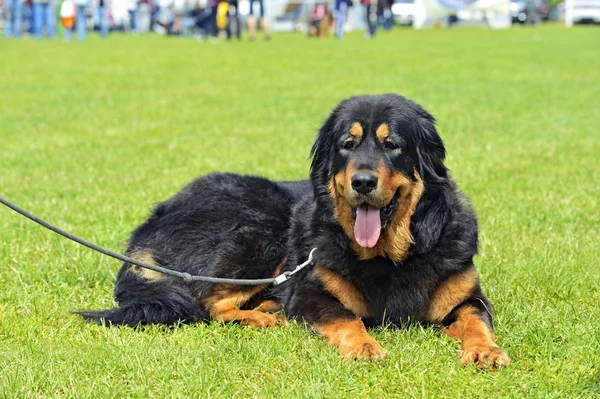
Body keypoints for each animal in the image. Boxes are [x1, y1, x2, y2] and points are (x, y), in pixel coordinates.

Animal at [78, 94, 510, 368]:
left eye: (393, 145)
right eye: (348, 144)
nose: (363, 182)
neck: (391, 257)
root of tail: (152, 219)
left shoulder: (466, 297)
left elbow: (477, 321)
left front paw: (485, 351)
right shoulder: (311, 293)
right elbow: (346, 319)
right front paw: (363, 346)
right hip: (262, 225)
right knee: (204, 303)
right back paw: (266, 317)